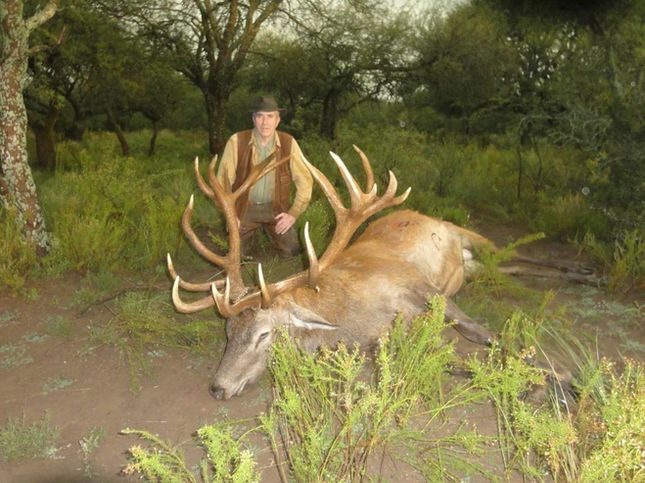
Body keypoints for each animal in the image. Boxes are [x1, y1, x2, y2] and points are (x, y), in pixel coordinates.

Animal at [167, 146, 595, 400]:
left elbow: (482, 333)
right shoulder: (385, 343)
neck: (353, 316)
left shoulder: (422, 287)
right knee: (511, 264)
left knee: (516, 252)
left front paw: (569, 376)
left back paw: (587, 271)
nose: (217, 387)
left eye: (264, 334)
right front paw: (542, 382)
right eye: (227, 332)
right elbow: (458, 362)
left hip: (465, 234)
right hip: (471, 265)